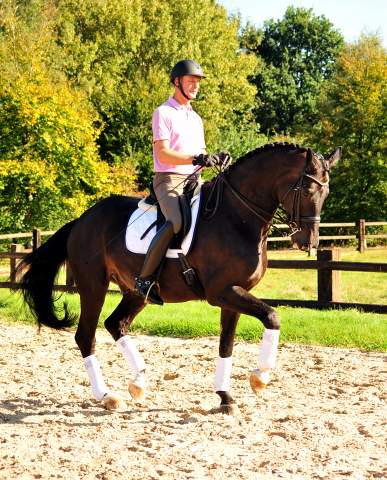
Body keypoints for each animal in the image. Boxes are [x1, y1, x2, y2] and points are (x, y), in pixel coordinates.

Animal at [19, 142, 342, 412]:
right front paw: (260, 378)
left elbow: (227, 344)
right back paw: (107, 396)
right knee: (86, 336)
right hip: (93, 287)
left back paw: (139, 381)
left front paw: (225, 397)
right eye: (307, 191)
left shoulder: (233, 294)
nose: (308, 242)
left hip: (136, 291)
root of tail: (81, 220)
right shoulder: (222, 292)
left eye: (326, 193)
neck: (237, 216)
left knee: (116, 324)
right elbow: (272, 316)